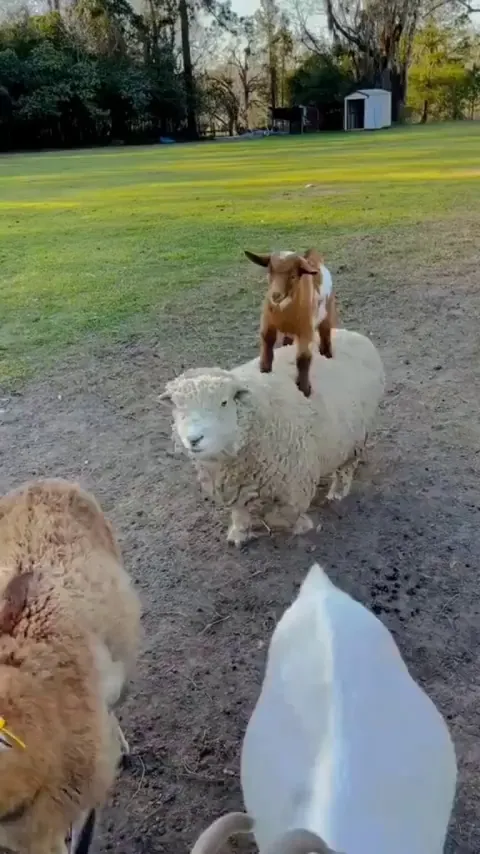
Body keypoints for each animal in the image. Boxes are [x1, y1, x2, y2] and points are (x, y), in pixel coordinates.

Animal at [159, 328, 385, 547]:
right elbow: (239, 512)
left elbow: (281, 516)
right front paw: (239, 533)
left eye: (224, 402)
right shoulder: (234, 486)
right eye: (177, 406)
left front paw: (300, 525)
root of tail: (354, 334)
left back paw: (337, 493)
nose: (194, 439)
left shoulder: (294, 482)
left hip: (356, 438)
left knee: (346, 469)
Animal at [245, 248, 337, 398]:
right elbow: (267, 345)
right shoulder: (267, 324)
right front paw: (264, 370)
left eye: (293, 276)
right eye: (269, 272)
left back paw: (327, 355)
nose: (275, 295)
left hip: (328, 313)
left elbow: (303, 359)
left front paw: (305, 390)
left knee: (326, 336)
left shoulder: (306, 329)